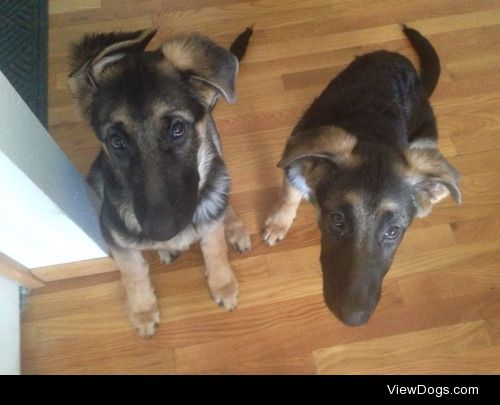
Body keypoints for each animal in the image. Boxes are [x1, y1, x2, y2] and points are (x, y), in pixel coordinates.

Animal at [68, 28, 252, 336]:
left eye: (177, 129)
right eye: (116, 142)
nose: (162, 232)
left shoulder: (209, 222)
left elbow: (214, 250)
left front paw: (223, 284)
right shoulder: (116, 238)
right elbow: (132, 273)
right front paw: (143, 311)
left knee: (222, 195)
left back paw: (233, 226)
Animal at [262, 26, 460, 326]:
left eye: (393, 232)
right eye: (337, 220)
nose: (353, 319)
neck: (371, 136)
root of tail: (404, 65)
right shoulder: (296, 160)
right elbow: (289, 194)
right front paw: (279, 222)